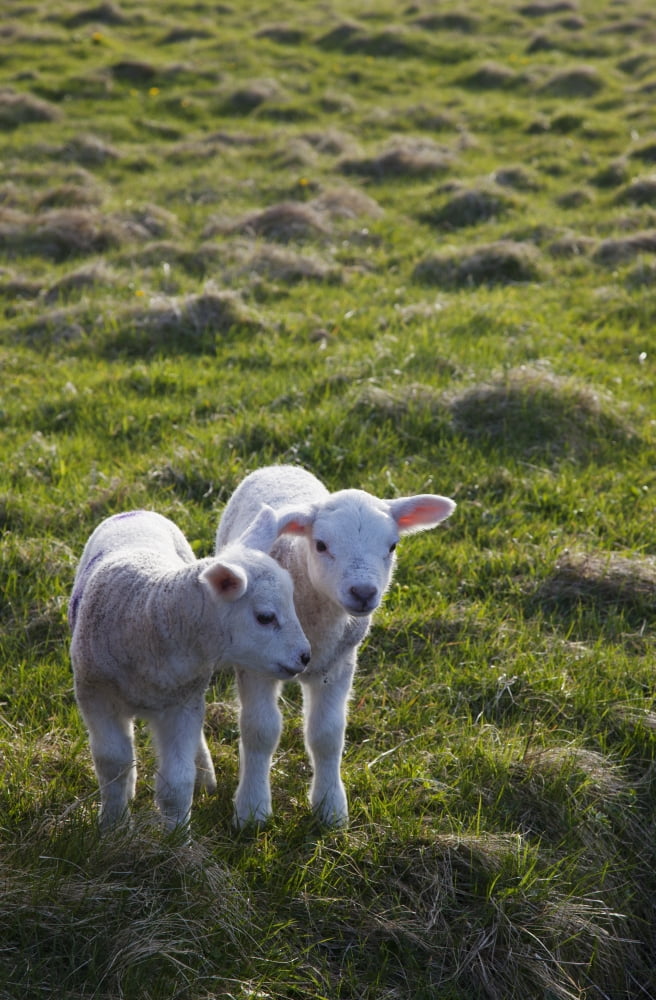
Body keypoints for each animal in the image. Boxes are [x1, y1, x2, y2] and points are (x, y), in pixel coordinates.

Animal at [69, 506, 311, 830]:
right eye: (265, 617)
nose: (305, 656)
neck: (151, 610)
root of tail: (138, 511)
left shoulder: (182, 704)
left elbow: (177, 782)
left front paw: (176, 837)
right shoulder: (94, 694)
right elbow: (113, 764)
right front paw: (112, 825)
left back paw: (204, 777)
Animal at [216, 465, 456, 828]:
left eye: (393, 546)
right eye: (321, 545)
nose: (363, 592)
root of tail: (282, 466)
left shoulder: (338, 665)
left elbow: (326, 735)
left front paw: (330, 808)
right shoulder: (256, 663)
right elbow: (260, 731)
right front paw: (252, 810)